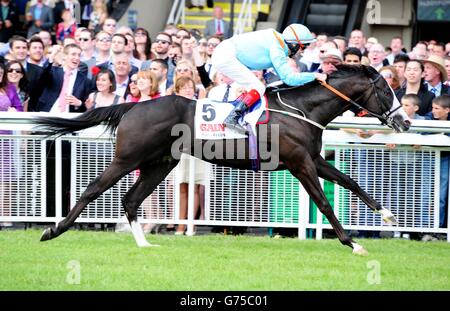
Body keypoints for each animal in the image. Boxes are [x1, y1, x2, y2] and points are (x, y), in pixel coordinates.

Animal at [33, 65, 410, 256]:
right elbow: (324, 202)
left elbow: (349, 181)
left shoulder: (312, 158)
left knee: (131, 199)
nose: (404, 121)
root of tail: (134, 105)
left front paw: (389, 216)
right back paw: (53, 231)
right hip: (128, 158)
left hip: (161, 163)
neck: (303, 109)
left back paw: (144, 243)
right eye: (386, 90)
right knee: (92, 190)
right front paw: (353, 243)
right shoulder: (299, 163)